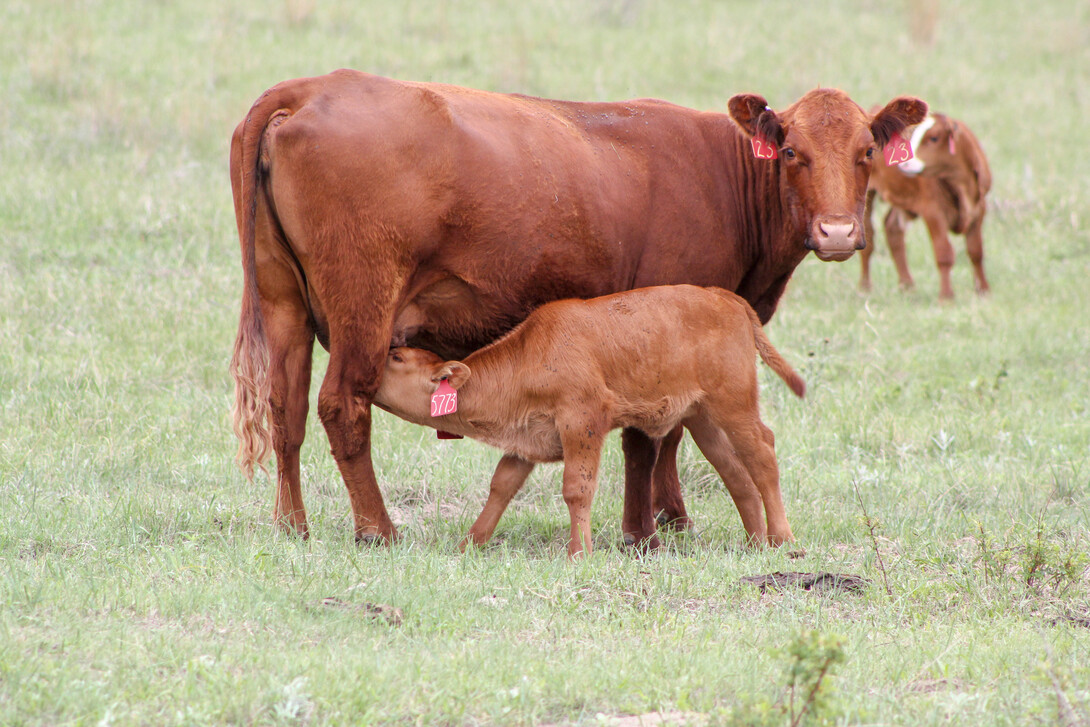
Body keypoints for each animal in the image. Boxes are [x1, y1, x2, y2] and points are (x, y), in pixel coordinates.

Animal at [370, 283, 806, 558]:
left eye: (398, 357)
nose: (370, 370)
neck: (532, 356)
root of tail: (724, 297)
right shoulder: (526, 441)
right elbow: (501, 486)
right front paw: (469, 546)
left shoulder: (583, 421)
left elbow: (577, 488)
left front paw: (579, 553)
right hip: (704, 419)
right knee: (736, 472)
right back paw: (755, 543)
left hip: (735, 405)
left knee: (762, 455)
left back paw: (783, 540)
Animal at [863, 111, 994, 298]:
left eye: (934, 138)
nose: (904, 163)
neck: (961, 184)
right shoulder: (933, 212)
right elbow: (944, 254)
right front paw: (946, 296)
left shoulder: (979, 210)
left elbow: (976, 252)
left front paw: (983, 290)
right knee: (868, 238)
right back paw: (865, 287)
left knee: (893, 229)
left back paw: (907, 284)